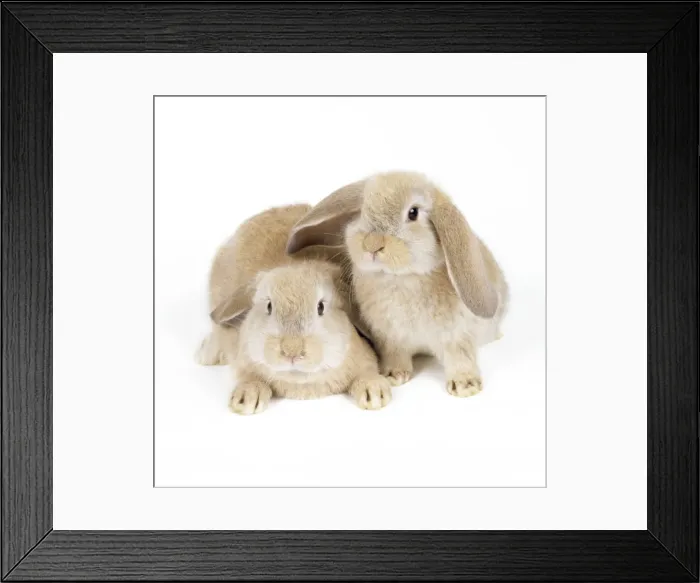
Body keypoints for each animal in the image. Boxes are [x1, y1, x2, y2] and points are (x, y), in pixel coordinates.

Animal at [197, 204, 391, 414]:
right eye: (269, 306)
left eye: (321, 307)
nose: (291, 350)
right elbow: (248, 376)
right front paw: (247, 398)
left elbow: (368, 371)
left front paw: (375, 393)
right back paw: (205, 355)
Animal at [286, 172, 509, 398]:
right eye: (363, 210)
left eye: (413, 212)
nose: (372, 244)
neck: (400, 277)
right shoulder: (391, 337)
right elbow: (396, 355)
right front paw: (393, 375)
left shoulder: (457, 334)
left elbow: (460, 358)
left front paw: (465, 386)